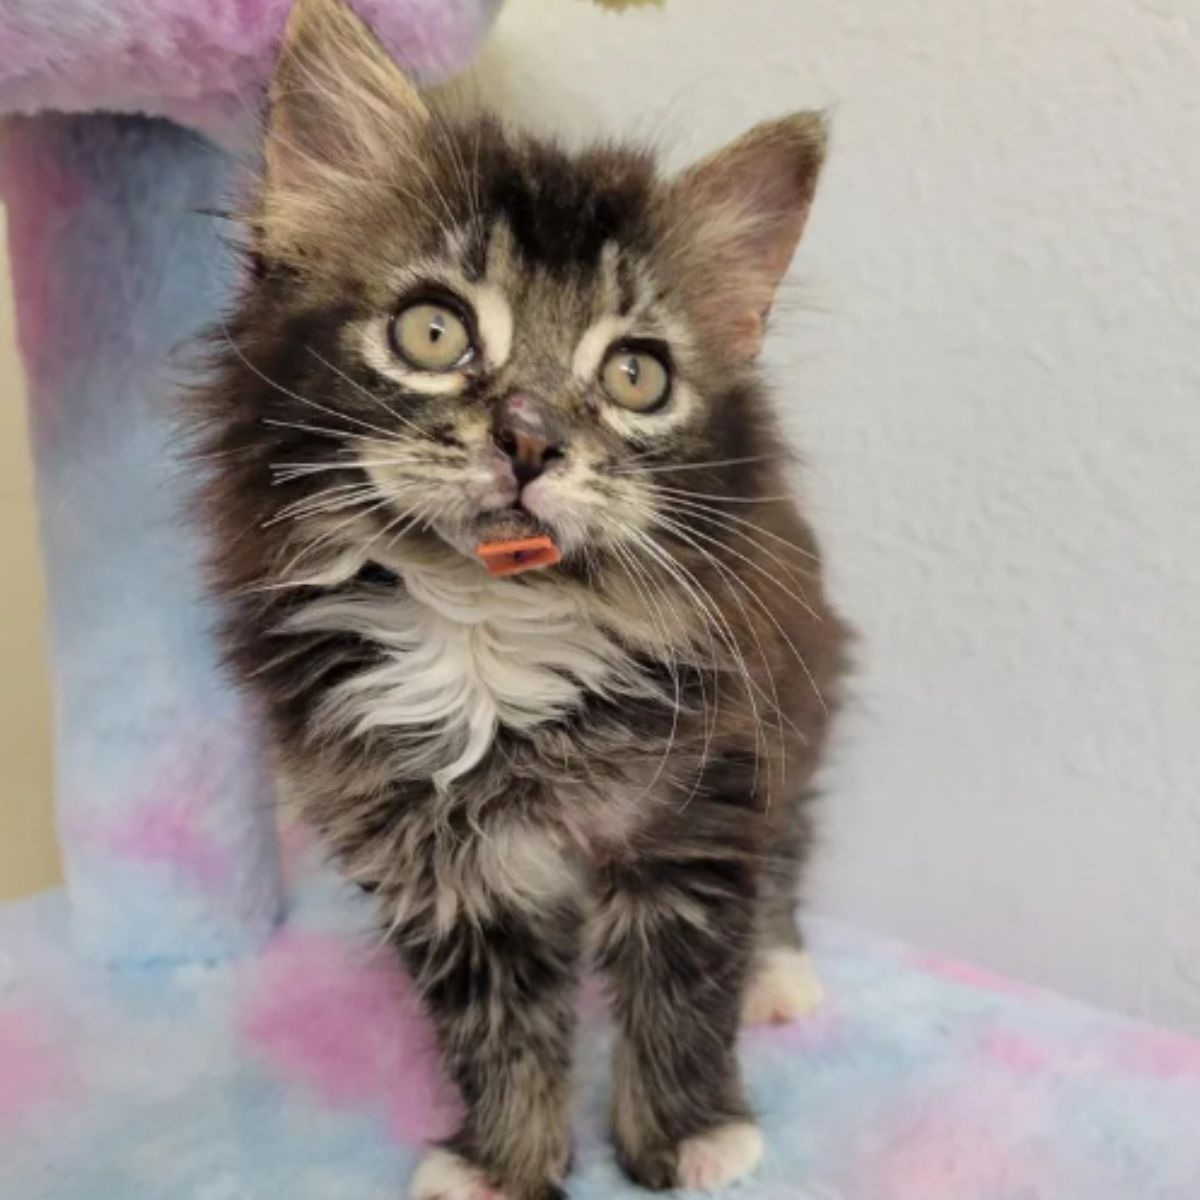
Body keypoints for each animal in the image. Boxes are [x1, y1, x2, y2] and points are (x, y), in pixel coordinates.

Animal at [192, 0, 849, 1195]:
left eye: (636, 376)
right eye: (434, 331)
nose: (531, 437)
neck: (488, 628)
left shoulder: (697, 800)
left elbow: (684, 989)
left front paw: (691, 1137)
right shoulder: (439, 861)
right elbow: (496, 1027)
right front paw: (503, 1161)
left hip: (797, 697)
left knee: (785, 848)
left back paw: (778, 974)